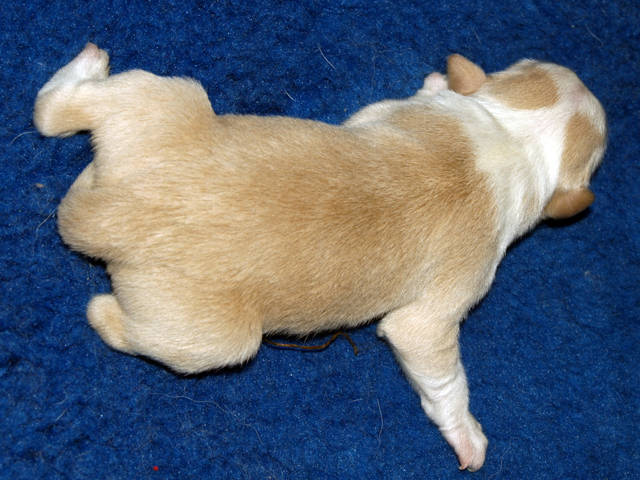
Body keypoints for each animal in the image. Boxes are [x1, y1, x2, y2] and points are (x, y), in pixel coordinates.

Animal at [34, 44, 606, 471]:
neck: (514, 135)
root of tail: (105, 214)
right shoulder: (432, 318)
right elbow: (444, 379)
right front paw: (466, 434)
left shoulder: (388, 113)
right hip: (216, 341)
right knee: (116, 321)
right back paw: (101, 308)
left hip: (159, 100)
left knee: (55, 111)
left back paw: (84, 74)